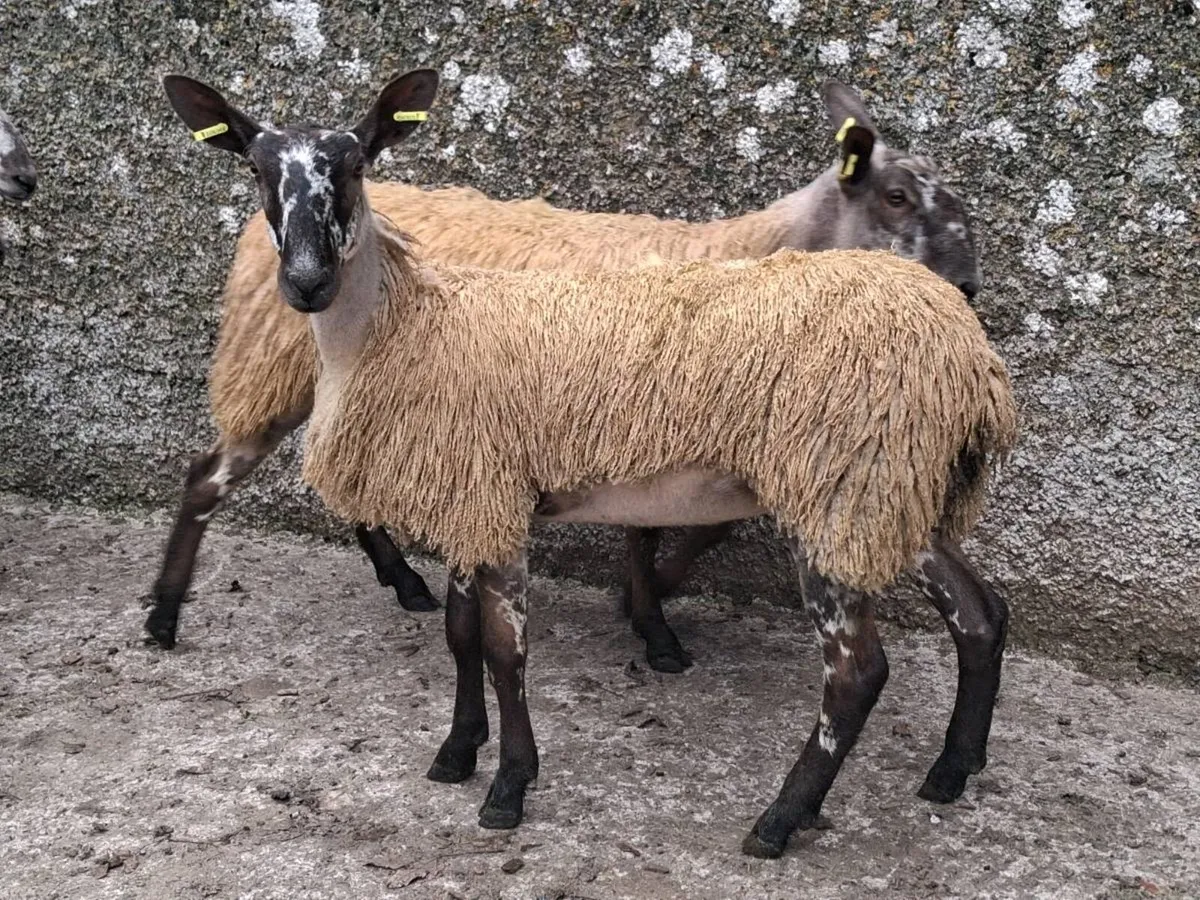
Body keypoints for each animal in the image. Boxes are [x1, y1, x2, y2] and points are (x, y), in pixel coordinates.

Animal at [162, 69, 1020, 859]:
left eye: (351, 167)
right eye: (898, 197)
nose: (307, 281)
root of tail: (974, 367)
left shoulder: (536, 481)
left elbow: (515, 636)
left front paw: (513, 778)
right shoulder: (483, 490)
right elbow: (471, 634)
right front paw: (465, 750)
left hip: (854, 491)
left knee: (865, 669)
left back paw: (782, 819)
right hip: (889, 492)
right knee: (974, 615)